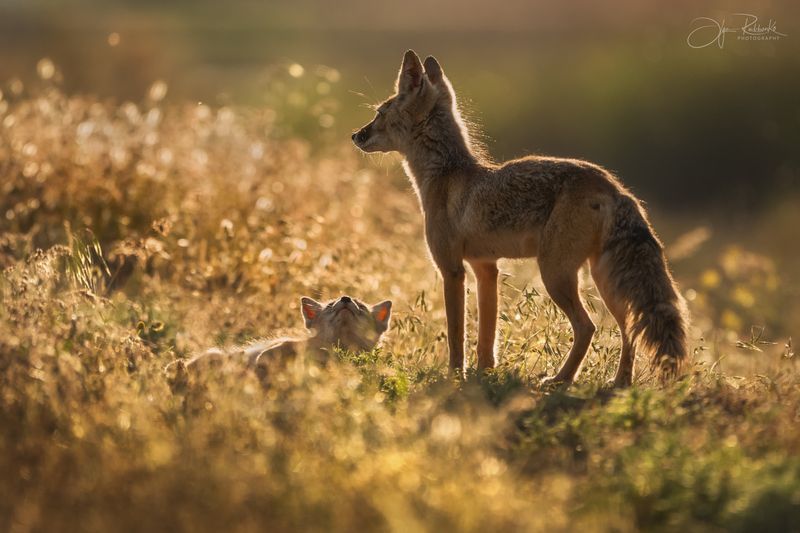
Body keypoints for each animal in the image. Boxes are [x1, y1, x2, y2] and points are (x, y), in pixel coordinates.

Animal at [170, 295, 392, 381]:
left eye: (360, 306)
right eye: (330, 305)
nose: (345, 298)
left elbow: (285, 346)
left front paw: (264, 358)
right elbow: (286, 343)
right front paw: (264, 356)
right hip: (214, 353)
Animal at [352, 50, 687, 387]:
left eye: (380, 113)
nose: (356, 135)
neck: (444, 174)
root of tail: (613, 186)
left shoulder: (452, 271)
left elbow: (456, 336)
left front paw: (454, 376)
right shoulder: (486, 269)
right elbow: (487, 337)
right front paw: (484, 374)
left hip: (556, 275)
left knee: (588, 327)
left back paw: (560, 379)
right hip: (602, 279)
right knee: (631, 327)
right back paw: (619, 383)